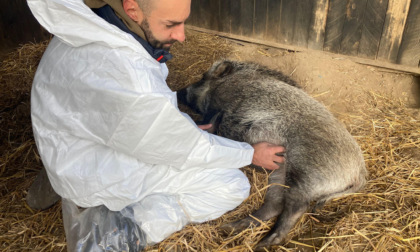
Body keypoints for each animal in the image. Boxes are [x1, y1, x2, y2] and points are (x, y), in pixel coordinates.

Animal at [177, 59, 368, 250]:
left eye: (203, 77)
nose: (180, 91)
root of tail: (359, 172)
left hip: (307, 175)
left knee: (296, 207)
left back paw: (262, 243)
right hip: (279, 172)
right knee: (275, 205)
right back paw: (230, 228)